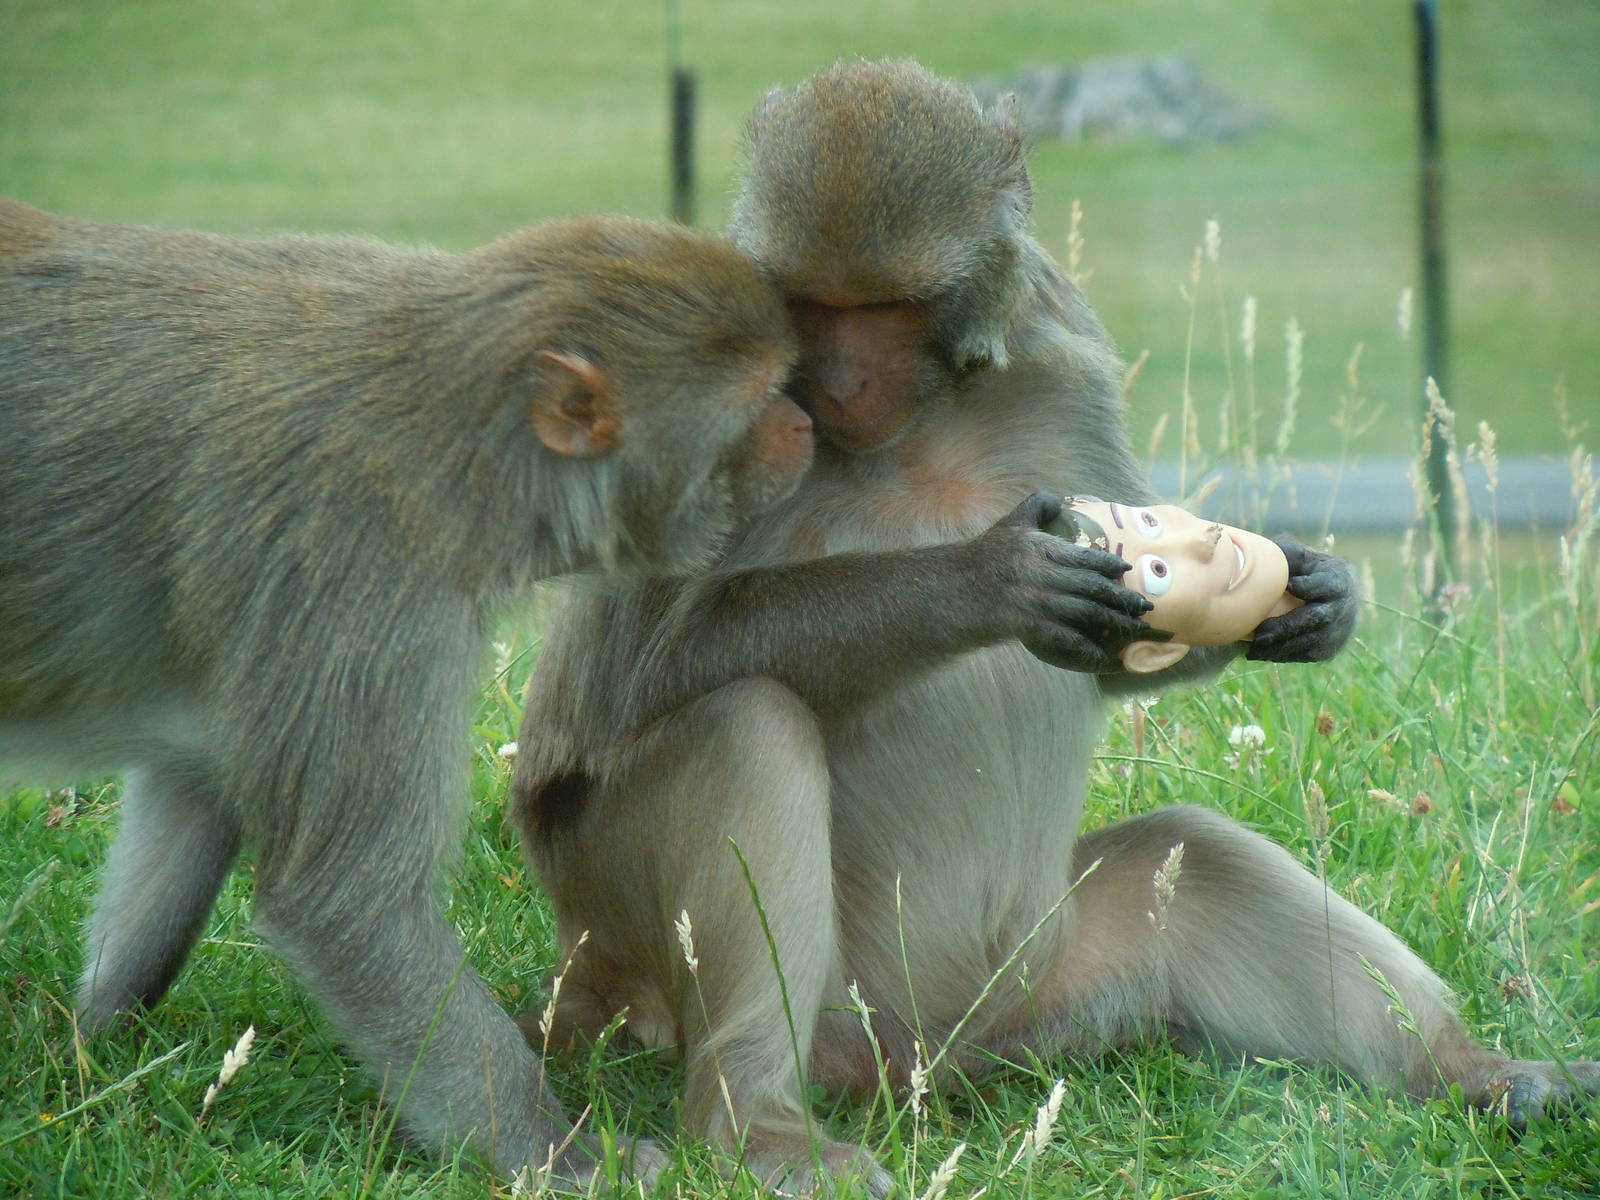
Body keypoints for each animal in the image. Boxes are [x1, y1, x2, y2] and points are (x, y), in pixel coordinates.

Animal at [0, 196, 814, 1185]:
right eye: (762, 397)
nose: (806, 430)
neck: (475, 447)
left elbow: (196, 785)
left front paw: (93, 1053)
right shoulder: (361, 563)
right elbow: (347, 900)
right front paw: (573, 1159)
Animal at [506, 59, 1600, 1196]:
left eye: (890, 308)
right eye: (811, 307)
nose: (841, 381)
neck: (921, 418)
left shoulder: (1061, 338)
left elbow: (1124, 659)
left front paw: (1317, 594)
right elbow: (649, 665)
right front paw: (985, 581)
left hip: (1038, 995)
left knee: (1195, 855)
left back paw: (1482, 1074)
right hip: (636, 934)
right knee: (743, 726)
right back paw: (756, 1127)